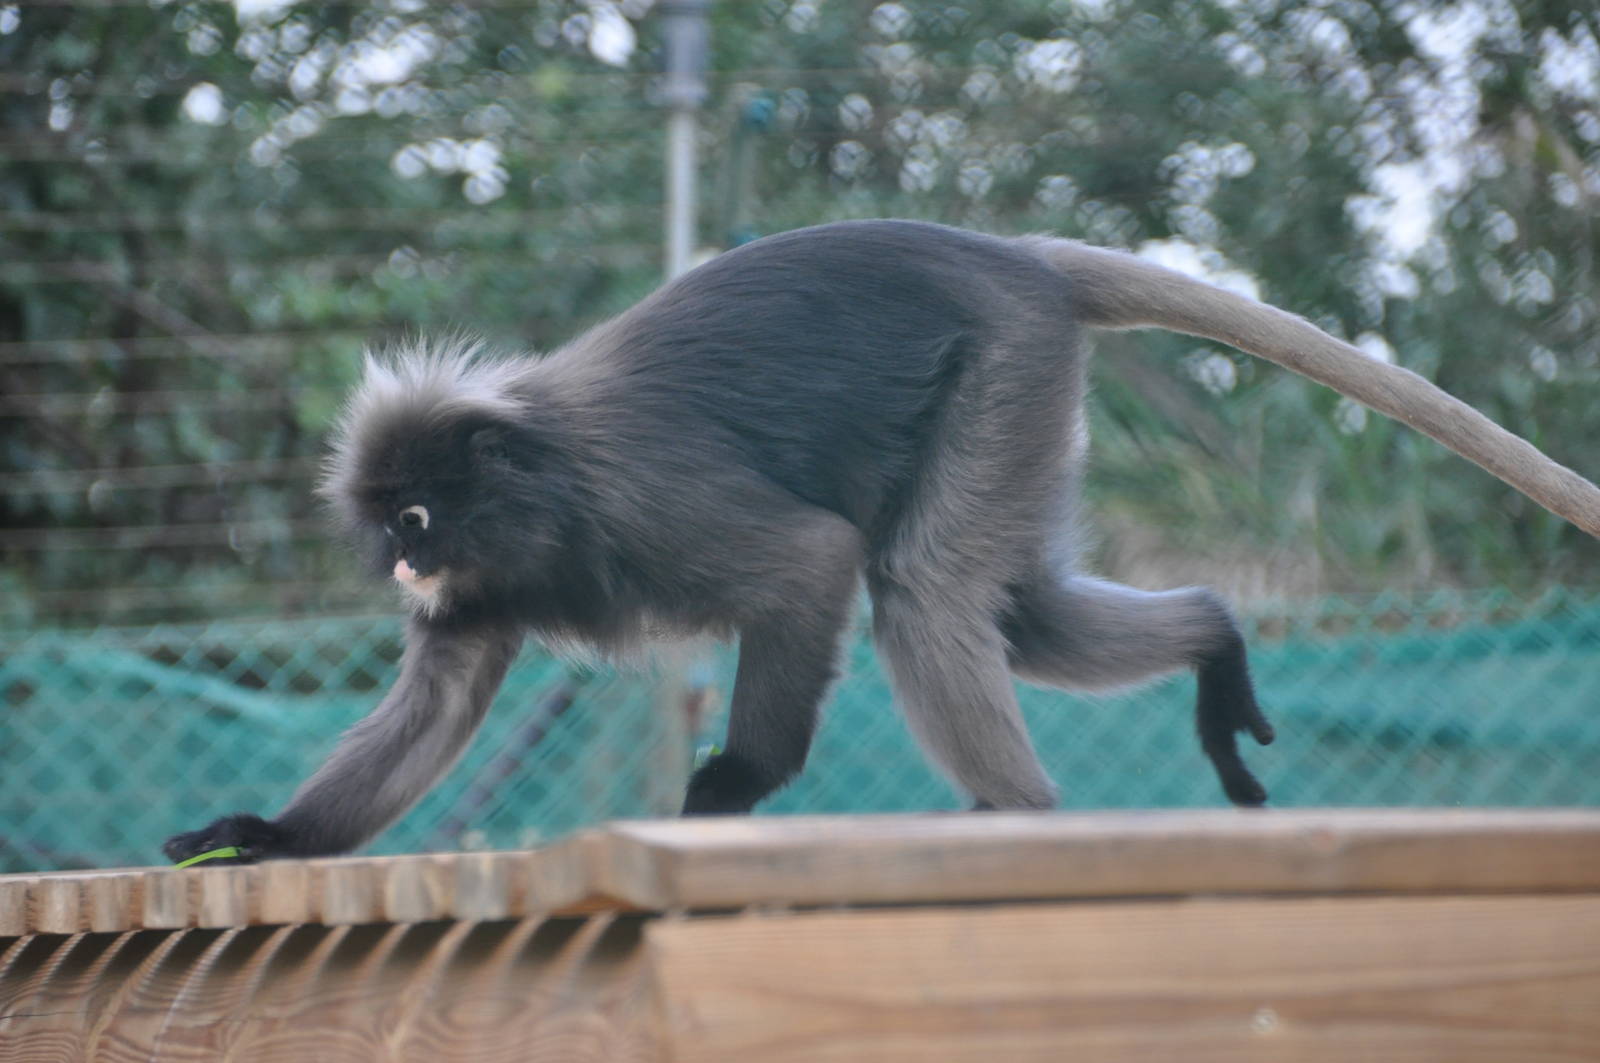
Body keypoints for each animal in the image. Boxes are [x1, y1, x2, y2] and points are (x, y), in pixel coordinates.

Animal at [163, 219, 1600, 864]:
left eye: (416, 517)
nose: (405, 564)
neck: (547, 478)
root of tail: (1017, 254)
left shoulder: (645, 506)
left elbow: (809, 563)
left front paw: (732, 784)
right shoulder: (486, 590)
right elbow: (446, 691)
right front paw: (271, 834)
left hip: (1005, 374)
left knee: (925, 586)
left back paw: (1016, 813)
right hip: (1031, 404)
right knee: (1022, 605)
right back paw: (1212, 640)